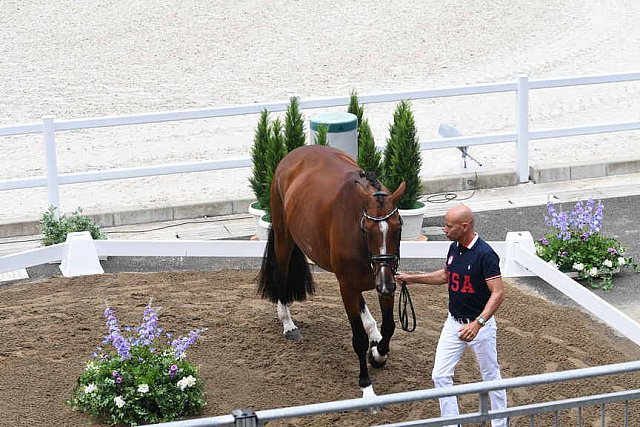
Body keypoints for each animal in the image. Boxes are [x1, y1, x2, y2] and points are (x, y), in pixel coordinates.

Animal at [256, 146, 402, 398]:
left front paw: (378, 355)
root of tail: (295, 154)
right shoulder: (348, 287)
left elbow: (389, 325)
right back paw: (288, 323)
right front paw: (366, 385)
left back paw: (373, 332)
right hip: (285, 238)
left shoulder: (384, 280)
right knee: (282, 274)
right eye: (367, 229)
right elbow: (358, 339)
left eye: (398, 227)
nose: (384, 285)